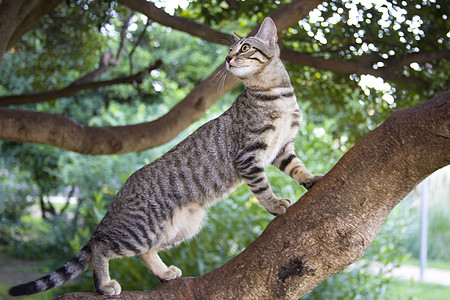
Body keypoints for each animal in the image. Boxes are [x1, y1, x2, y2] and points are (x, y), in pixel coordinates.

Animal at [7, 16, 324, 296]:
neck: (276, 95)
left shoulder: (282, 148)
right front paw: (274, 204)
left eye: (244, 47)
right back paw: (104, 284)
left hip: (181, 227)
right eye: (229, 50)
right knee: (100, 243)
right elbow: (261, 187)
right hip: (141, 228)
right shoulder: (248, 154)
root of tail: (120, 194)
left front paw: (311, 179)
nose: (228, 59)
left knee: (144, 251)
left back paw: (162, 272)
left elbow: (297, 167)